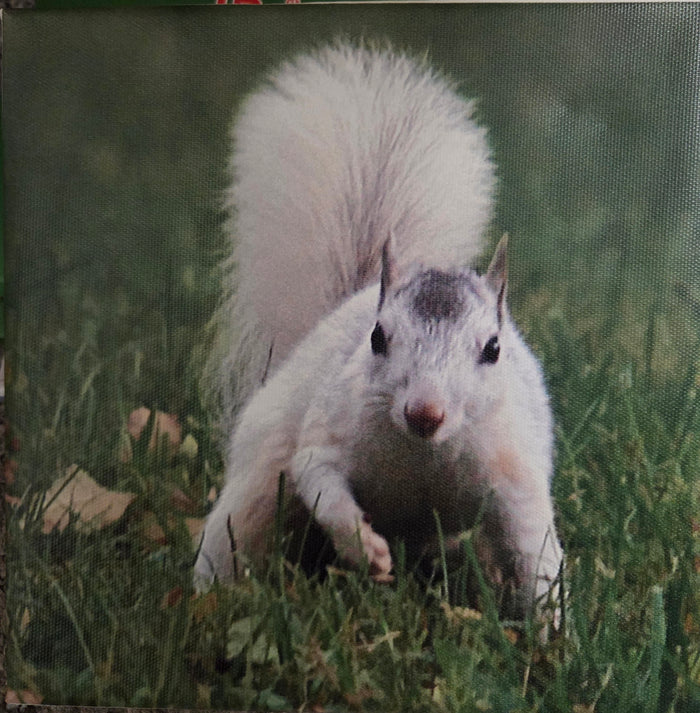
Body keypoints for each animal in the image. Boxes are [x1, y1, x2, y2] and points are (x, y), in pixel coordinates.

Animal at [195, 42, 562, 617]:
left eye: (493, 349)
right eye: (377, 338)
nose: (425, 413)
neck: (423, 455)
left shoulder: (514, 474)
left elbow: (536, 550)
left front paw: (554, 629)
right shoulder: (327, 434)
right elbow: (319, 480)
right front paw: (364, 546)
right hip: (257, 487)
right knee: (238, 533)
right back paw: (209, 599)